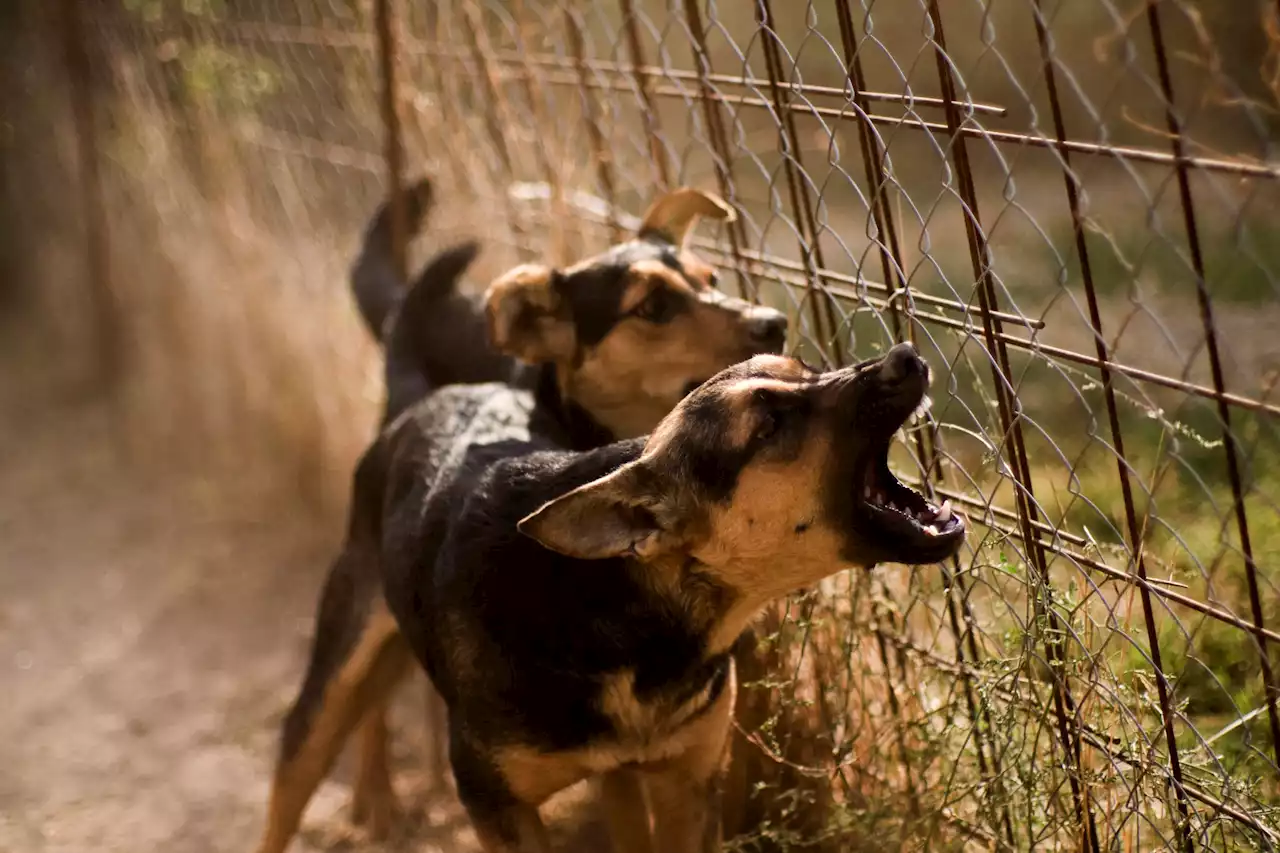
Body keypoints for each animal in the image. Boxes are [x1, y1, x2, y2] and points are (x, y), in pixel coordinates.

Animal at [282, 340, 962, 850]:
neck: (610, 602)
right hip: (331, 679)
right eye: (769, 424)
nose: (906, 356)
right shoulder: (494, 806)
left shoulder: (686, 781)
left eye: (806, 369)